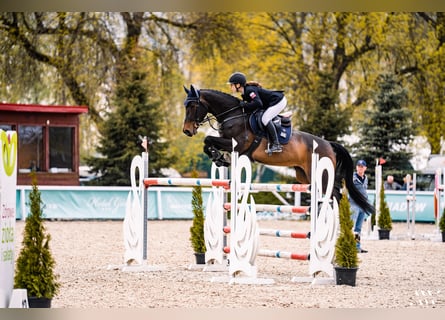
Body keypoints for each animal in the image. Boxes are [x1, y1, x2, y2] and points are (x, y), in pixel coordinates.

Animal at [182, 85, 372, 215]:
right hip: (303, 175)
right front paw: (220, 158)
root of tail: (329, 144)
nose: (187, 131)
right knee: (334, 192)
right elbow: (208, 143)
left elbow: (208, 139)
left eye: (193, 106)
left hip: (320, 175)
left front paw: (218, 156)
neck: (233, 115)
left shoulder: (237, 144)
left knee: (333, 194)